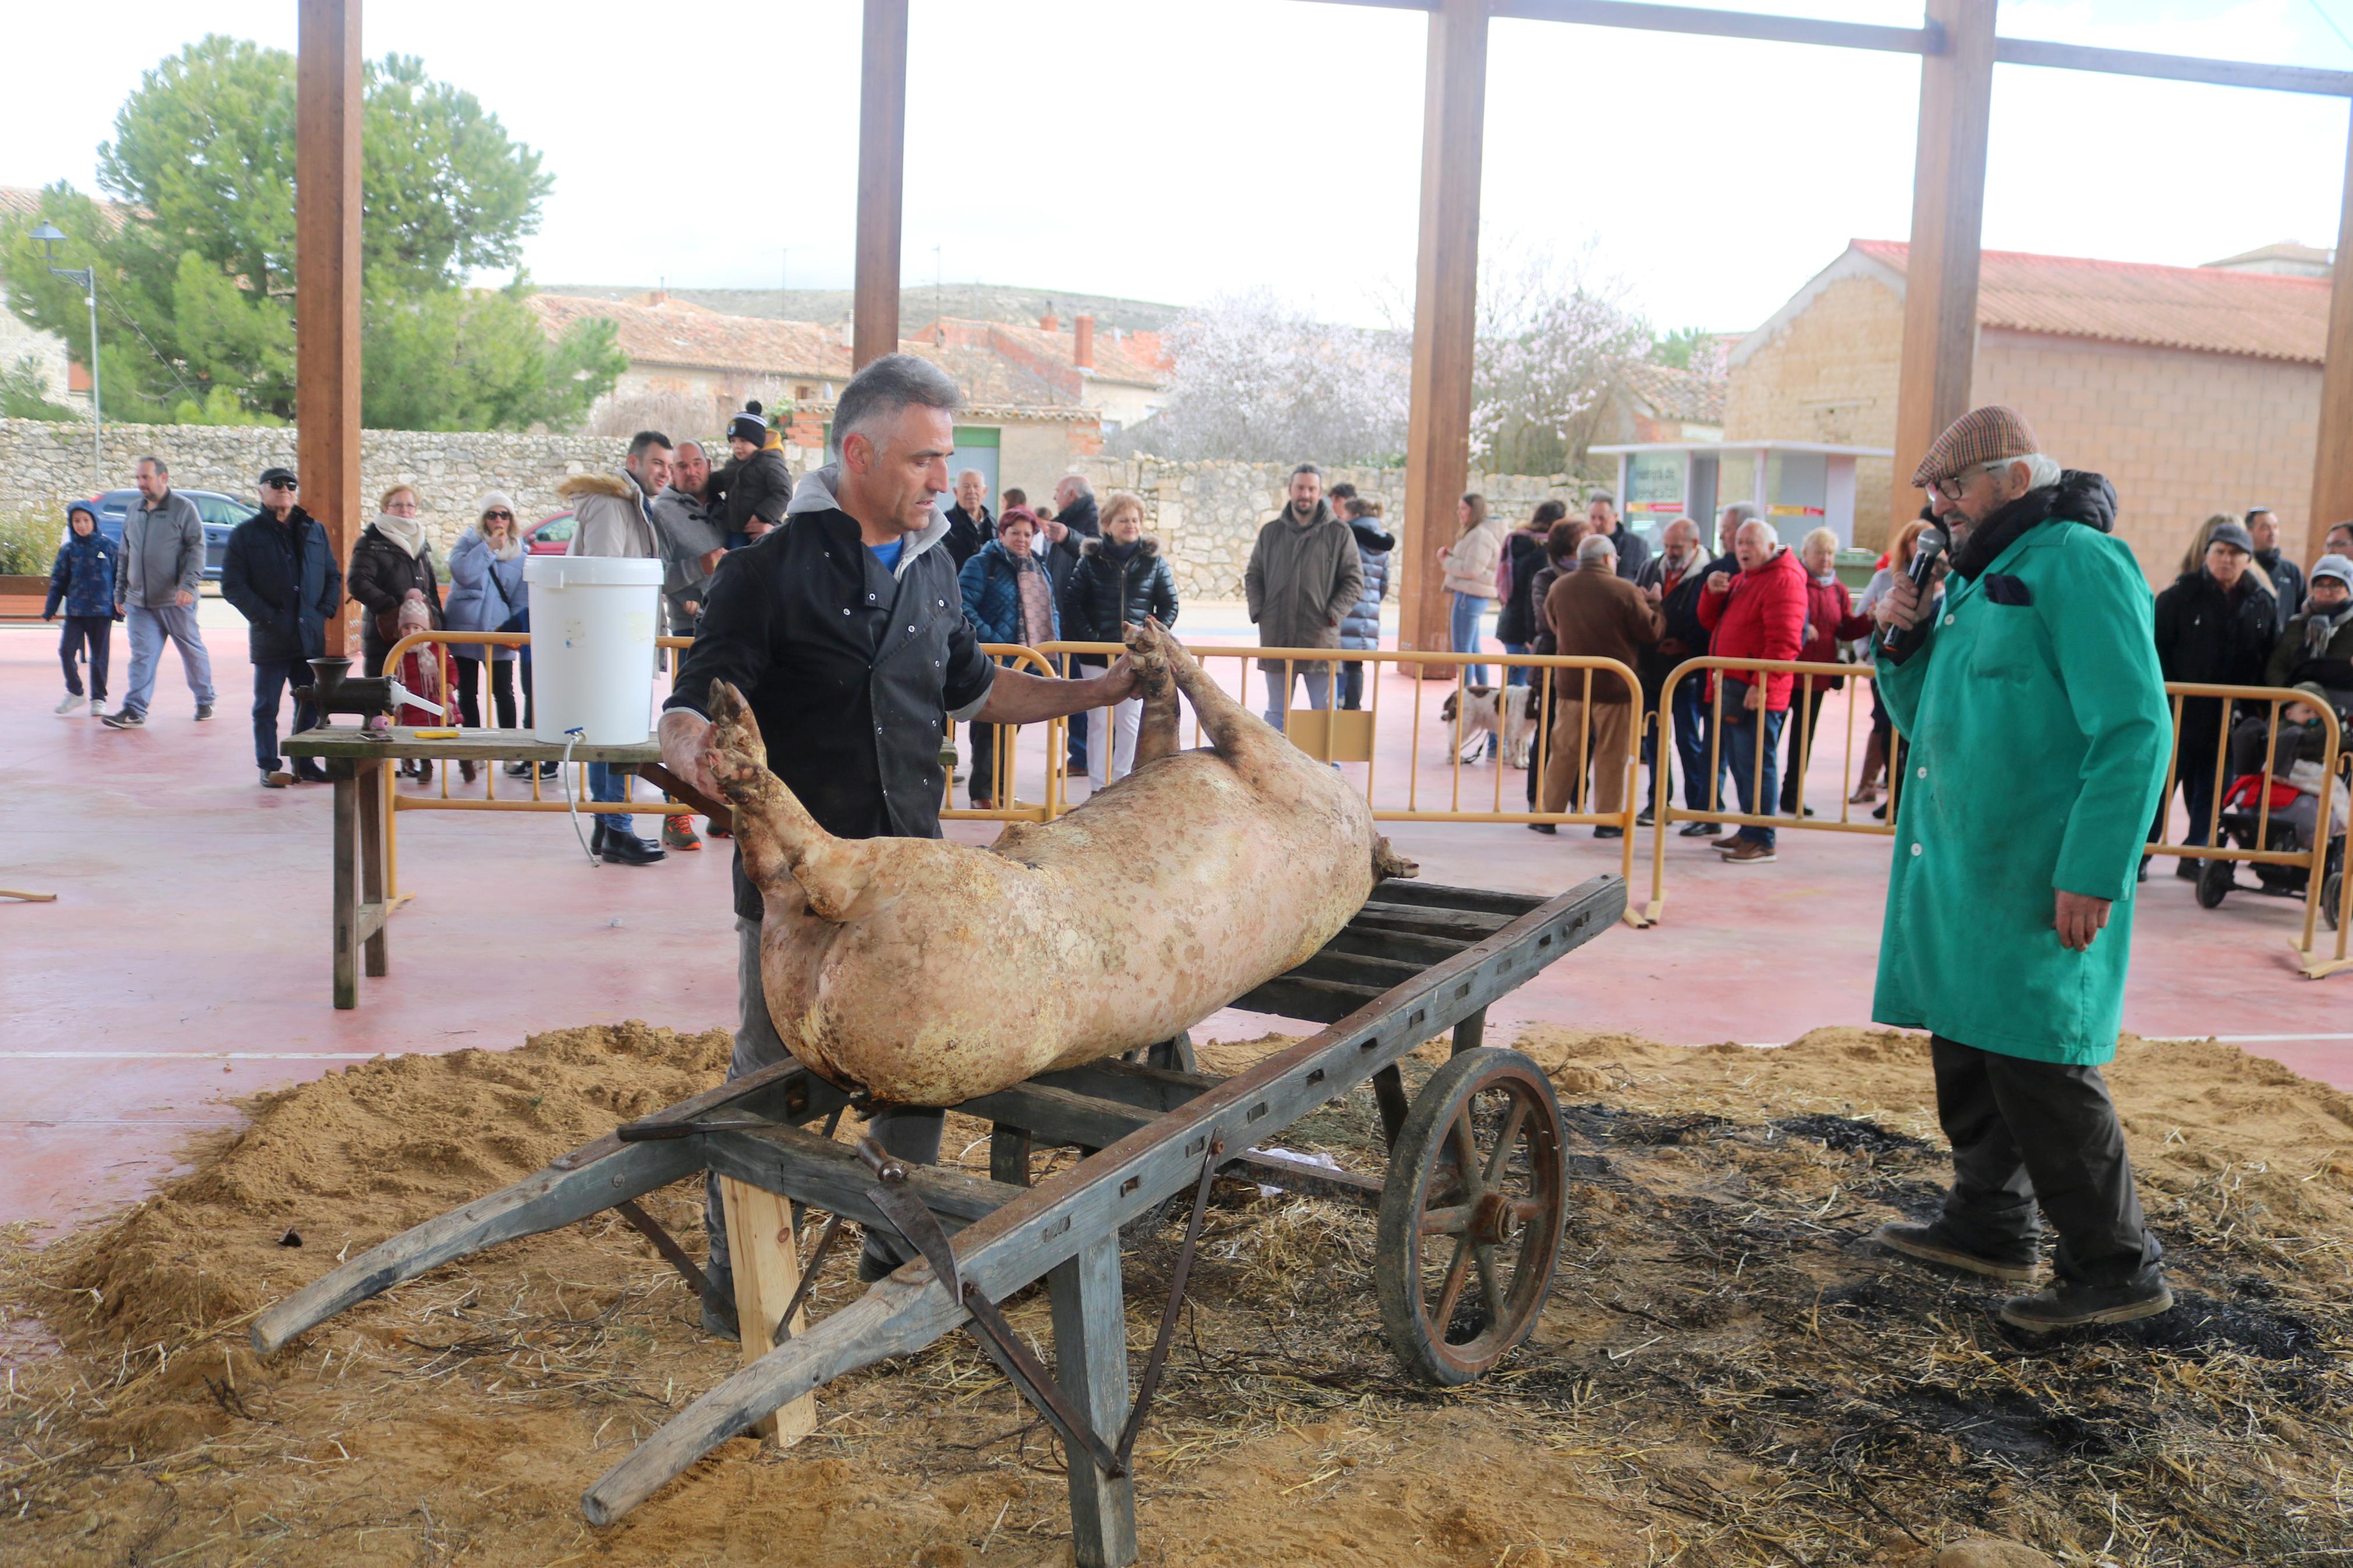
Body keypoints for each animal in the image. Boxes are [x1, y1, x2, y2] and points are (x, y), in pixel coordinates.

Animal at [1431, 681, 1543, 771]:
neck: (1531, 701)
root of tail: (1456, 693)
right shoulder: (1516, 732)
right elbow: (1518, 750)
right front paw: (1519, 764)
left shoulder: (1524, 731)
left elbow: (1524, 749)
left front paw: (1525, 762)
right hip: (1465, 724)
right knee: (1453, 743)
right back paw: (1452, 760)